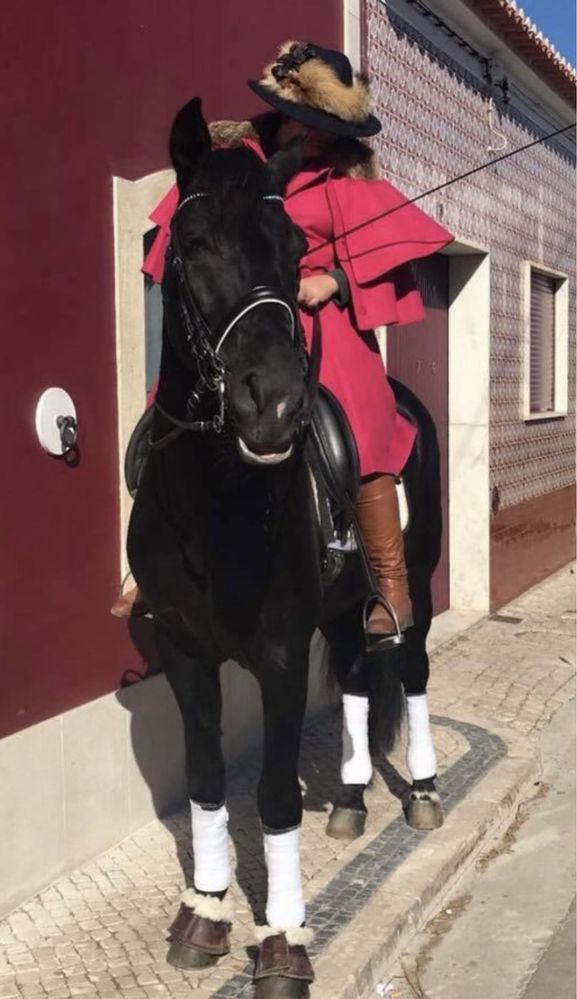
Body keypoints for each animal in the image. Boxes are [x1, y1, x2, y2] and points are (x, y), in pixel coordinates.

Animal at [126, 99, 440, 999]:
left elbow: (269, 794)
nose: (272, 405)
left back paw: (422, 786)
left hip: (416, 581)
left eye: (298, 249)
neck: (212, 503)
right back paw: (351, 796)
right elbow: (205, 781)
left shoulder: (276, 651)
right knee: (360, 674)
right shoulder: (183, 649)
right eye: (192, 243)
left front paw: (283, 937)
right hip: (340, 607)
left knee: (407, 667)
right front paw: (205, 910)